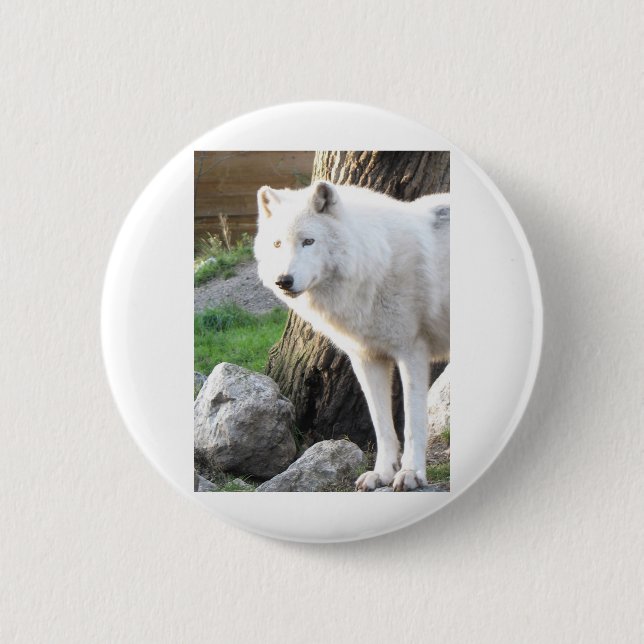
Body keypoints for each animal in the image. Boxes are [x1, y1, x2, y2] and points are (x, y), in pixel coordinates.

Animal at [254, 181, 450, 491]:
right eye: (277, 244)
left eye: (308, 241)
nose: (283, 281)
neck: (375, 262)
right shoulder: (367, 359)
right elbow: (381, 424)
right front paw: (381, 474)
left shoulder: (412, 353)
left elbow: (413, 422)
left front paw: (411, 473)